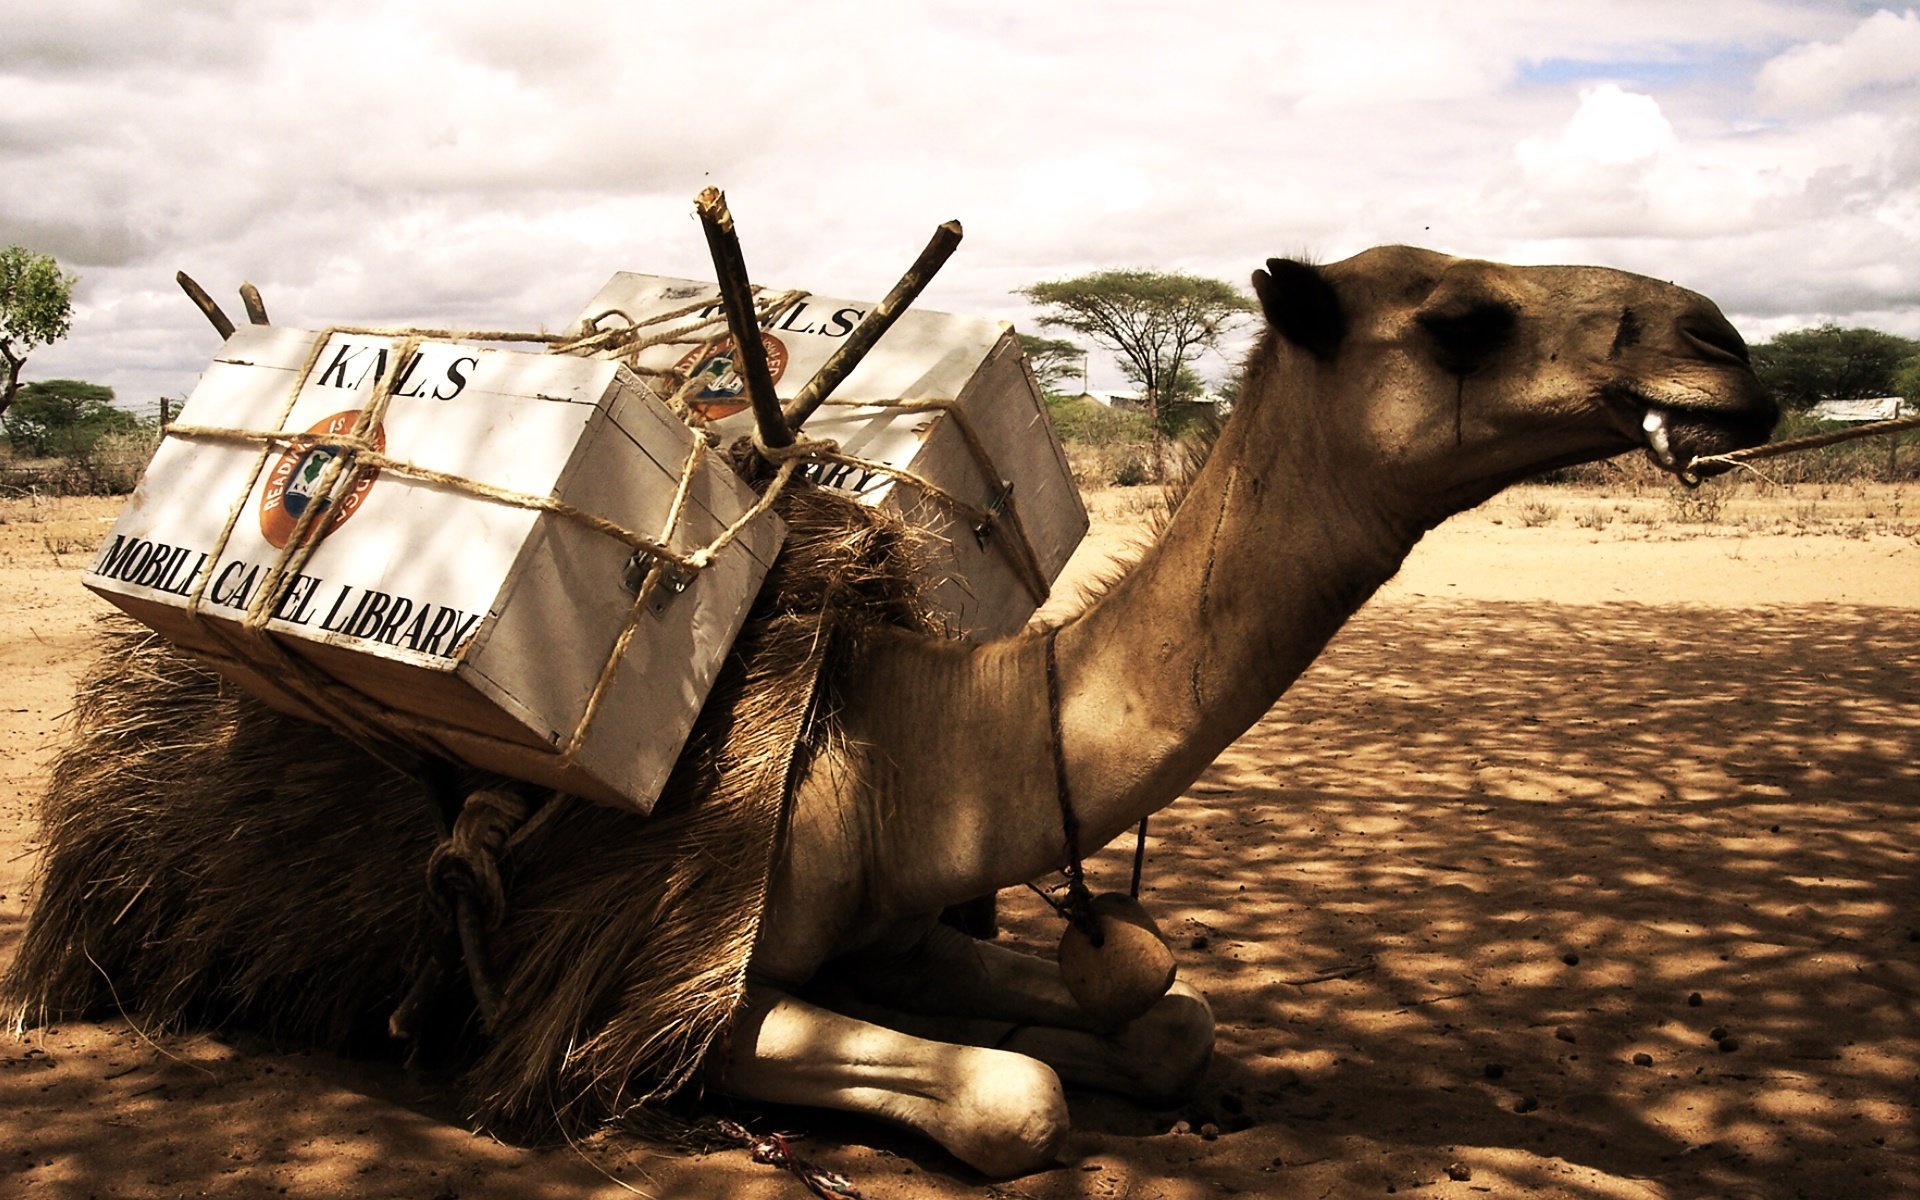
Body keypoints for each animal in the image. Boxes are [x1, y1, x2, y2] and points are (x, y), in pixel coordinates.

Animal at [707, 246, 1775, 1175]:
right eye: (1465, 322)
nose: (1724, 348)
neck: (887, 747)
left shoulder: (902, 936)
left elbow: (1174, 1024)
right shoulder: (693, 996)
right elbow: (1013, 1096)